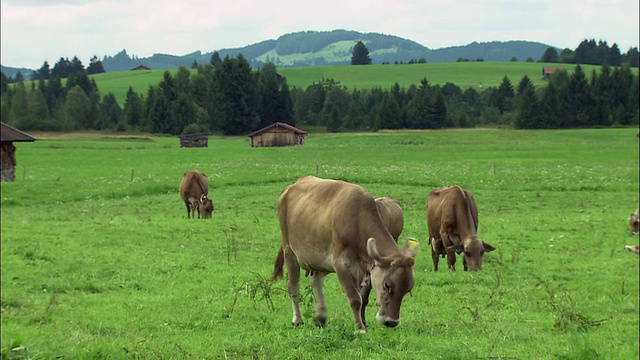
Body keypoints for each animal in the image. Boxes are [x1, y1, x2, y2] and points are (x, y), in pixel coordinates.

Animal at [272, 176, 418, 334]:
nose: (391, 322)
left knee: (316, 281)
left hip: (319, 258)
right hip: (289, 251)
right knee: (293, 286)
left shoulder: (365, 270)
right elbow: (355, 298)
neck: (357, 220)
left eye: (408, 289)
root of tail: (290, 187)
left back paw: (320, 317)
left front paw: (362, 323)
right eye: (387, 285)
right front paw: (360, 328)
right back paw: (297, 320)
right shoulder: (340, 264)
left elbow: (362, 297)